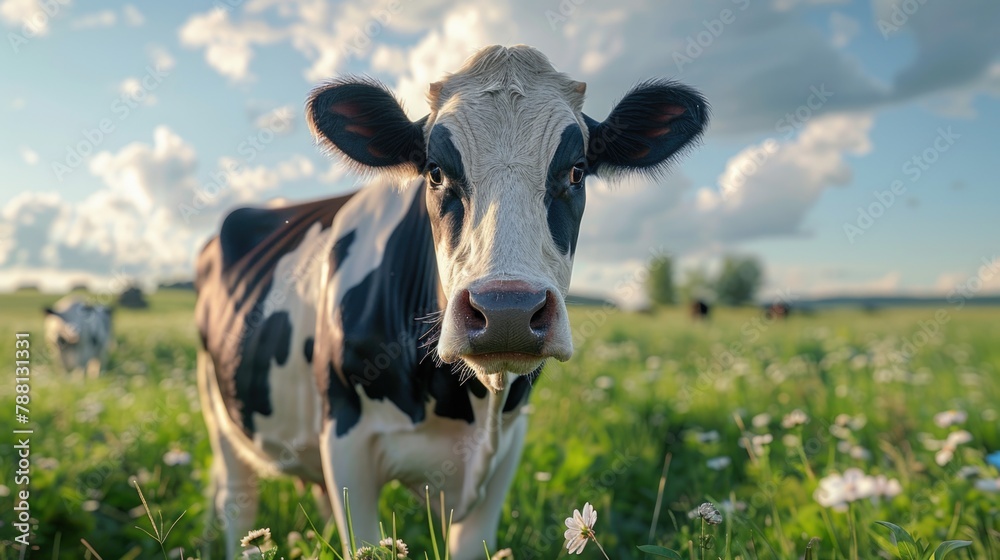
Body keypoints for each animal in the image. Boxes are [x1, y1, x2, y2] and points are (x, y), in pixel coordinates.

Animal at [197, 44, 712, 560]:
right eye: (436, 171)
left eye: (576, 171)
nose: (507, 312)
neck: (466, 404)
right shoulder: (345, 440)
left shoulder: (508, 446)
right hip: (218, 411)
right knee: (237, 501)